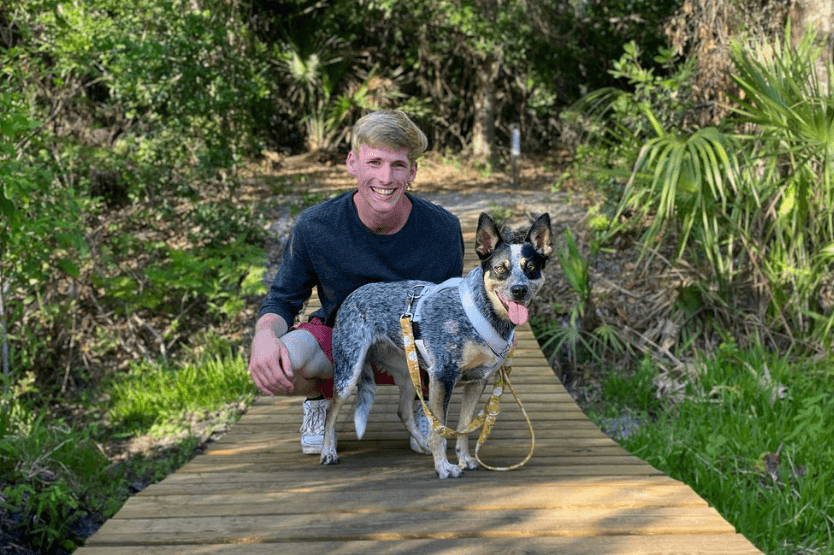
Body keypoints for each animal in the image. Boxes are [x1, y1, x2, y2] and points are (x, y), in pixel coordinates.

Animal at [320, 213, 552, 478]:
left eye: (531, 268)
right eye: (500, 268)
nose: (519, 290)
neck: (480, 313)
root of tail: (351, 296)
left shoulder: (477, 381)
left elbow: (463, 426)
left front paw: (465, 459)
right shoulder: (443, 376)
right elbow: (440, 429)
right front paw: (443, 466)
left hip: (409, 374)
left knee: (403, 411)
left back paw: (421, 443)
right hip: (349, 373)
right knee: (331, 410)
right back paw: (328, 451)